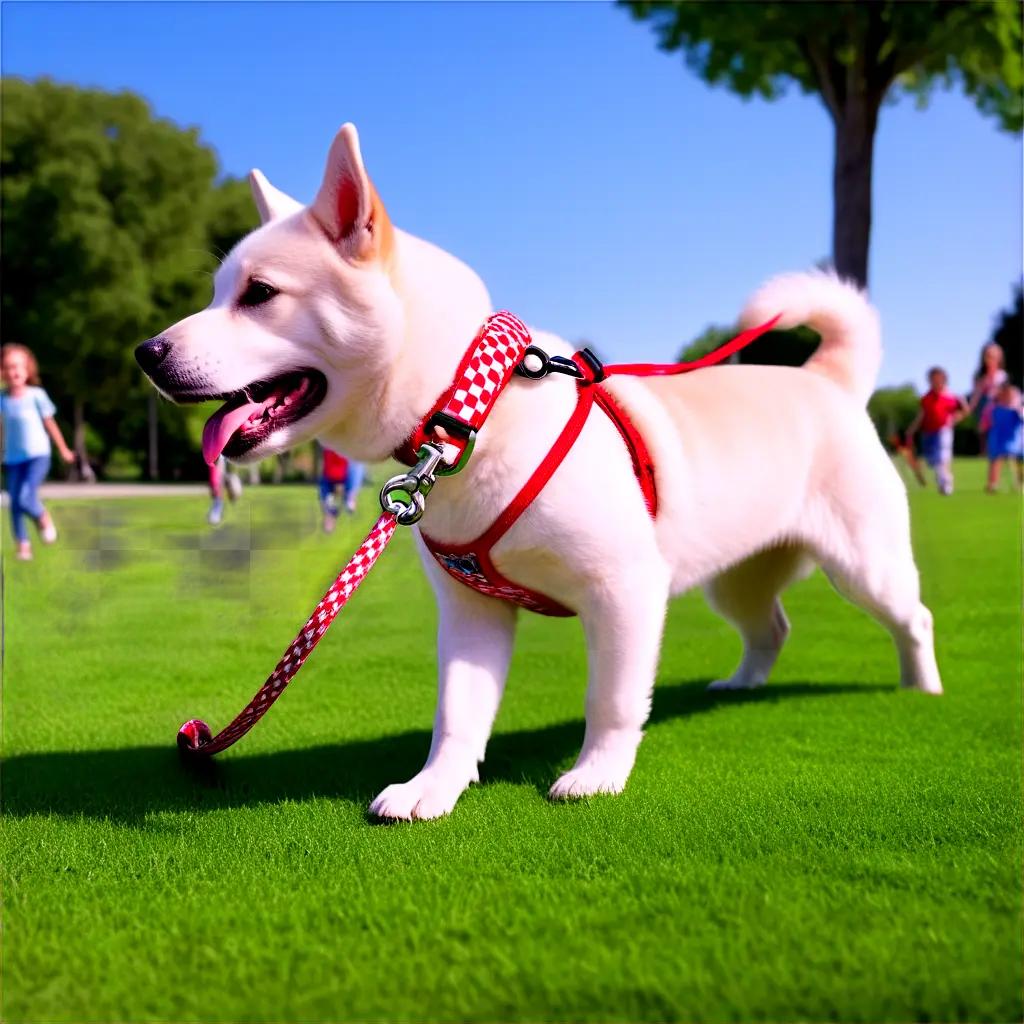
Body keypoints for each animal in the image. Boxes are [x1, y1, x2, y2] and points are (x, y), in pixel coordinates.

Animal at [138, 123, 942, 819]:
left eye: (259, 295)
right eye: (217, 292)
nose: (146, 353)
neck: (471, 417)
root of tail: (826, 380)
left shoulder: (626, 590)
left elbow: (612, 701)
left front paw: (596, 775)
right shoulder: (472, 611)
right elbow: (458, 713)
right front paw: (434, 788)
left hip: (864, 565)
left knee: (914, 618)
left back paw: (922, 689)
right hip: (735, 577)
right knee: (771, 626)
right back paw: (739, 685)